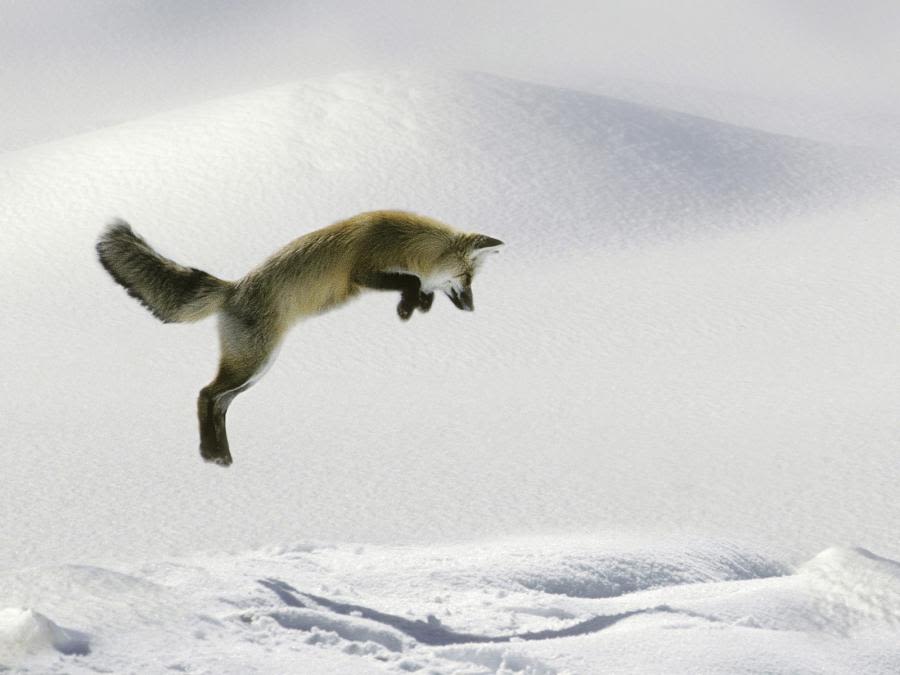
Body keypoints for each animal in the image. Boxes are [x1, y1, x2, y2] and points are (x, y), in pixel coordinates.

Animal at [96, 210, 503, 467]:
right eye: (467, 279)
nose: (471, 309)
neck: (404, 241)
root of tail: (233, 288)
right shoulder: (361, 272)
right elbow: (412, 280)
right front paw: (409, 306)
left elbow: (419, 286)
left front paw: (417, 306)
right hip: (253, 362)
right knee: (206, 394)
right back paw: (212, 454)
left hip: (257, 368)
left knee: (220, 403)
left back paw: (221, 457)